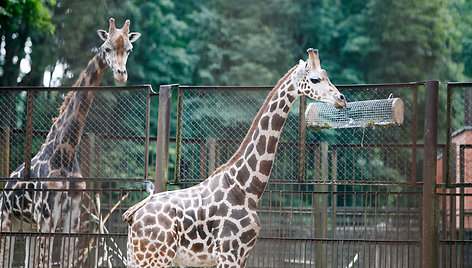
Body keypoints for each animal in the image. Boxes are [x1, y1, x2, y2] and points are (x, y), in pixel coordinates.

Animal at [0, 17, 140, 266]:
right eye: (107, 48)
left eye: (129, 49)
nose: (121, 74)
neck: (65, 153)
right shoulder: (47, 218)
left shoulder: (72, 218)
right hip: (7, 220)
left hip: (27, 226)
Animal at [123, 48, 348, 268]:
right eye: (315, 79)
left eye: (327, 75)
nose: (342, 99)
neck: (247, 189)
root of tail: (133, 215)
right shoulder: (228, 253)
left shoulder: (242, 255)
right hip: (155, 256)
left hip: (138, 256)